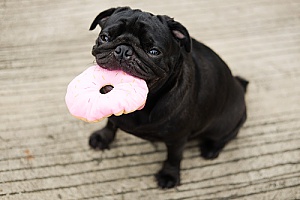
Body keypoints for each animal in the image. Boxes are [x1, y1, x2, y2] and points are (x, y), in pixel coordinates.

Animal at [88, 7, 247, 189]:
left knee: (228, 135)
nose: (123, 50)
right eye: (105, 37)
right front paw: (103, 137)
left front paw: (169, 175)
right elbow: (110, 124)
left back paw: (211, 149)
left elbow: (174, 157)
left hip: (225, 124)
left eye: (153, 52)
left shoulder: (177, 138)